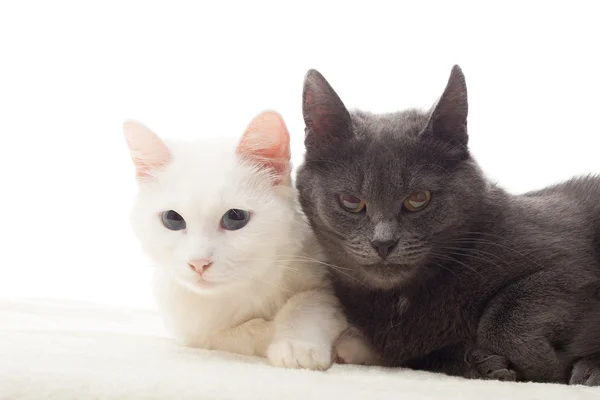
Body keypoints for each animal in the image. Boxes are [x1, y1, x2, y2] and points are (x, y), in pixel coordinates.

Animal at [123, 110, 346, 368]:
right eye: (172, 219)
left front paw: (297, 343)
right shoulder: (190, 329)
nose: (199, 263)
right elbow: (236, 333)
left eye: (235, 217)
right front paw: (272, 333)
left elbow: (309, 301)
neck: (246, 287)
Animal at [296, 65, 600, 384]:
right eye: (351, 201)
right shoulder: (407, 351)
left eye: (418, 198)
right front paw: (484, 364)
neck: (400, 300)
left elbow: (503, 315)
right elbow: (431, 357)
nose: (383, 242)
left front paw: (544, 366)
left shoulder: (570, 263)